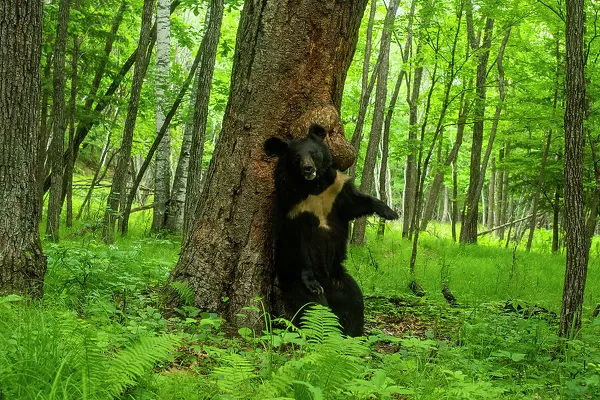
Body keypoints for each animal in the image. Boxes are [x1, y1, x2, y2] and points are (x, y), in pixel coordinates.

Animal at [264, 123, 398, 336]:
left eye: (313, 153)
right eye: (296, 157)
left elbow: (356, 204)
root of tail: (328, 283)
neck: (313, 186)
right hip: (292, 280)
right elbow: (298, 243)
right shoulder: (293, 206)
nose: (308, 168)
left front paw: (389, 212)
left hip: (341, 280)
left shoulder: (335, 191)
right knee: (315, 308)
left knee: (354, 303)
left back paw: (353, 334)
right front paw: (311, 282)